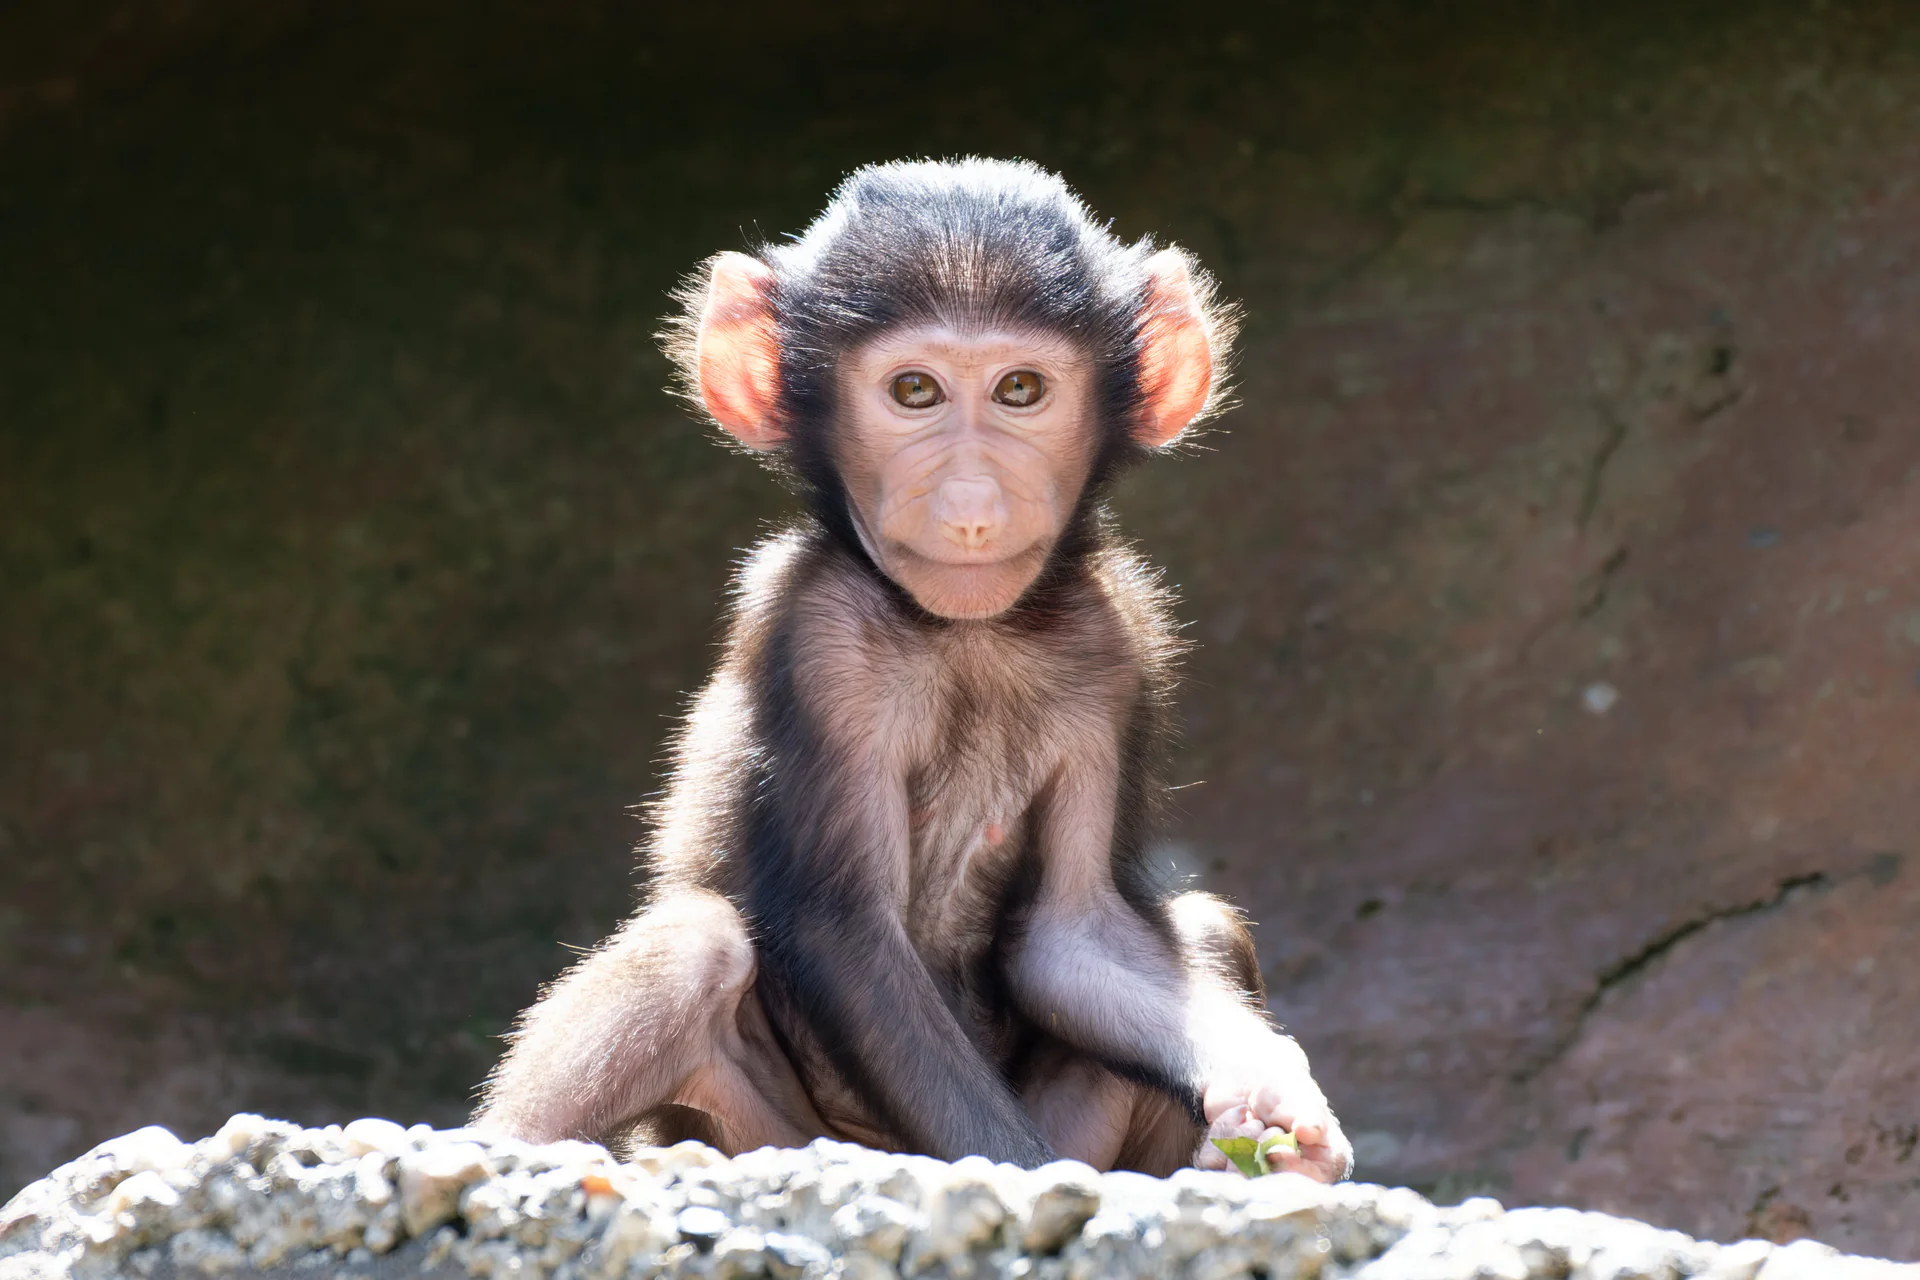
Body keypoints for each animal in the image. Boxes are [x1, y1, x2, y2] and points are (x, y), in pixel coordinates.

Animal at [473, 158, 1353, 1183]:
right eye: (916, 392)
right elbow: (847, 931)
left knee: (1207, 924)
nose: (970, 505)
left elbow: (1071, 930)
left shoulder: (1117, 647)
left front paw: (1273, 1096)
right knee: (692, 946)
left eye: (1020, 389)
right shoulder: (821, 641)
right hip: (757, 1137)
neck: (964, 633)